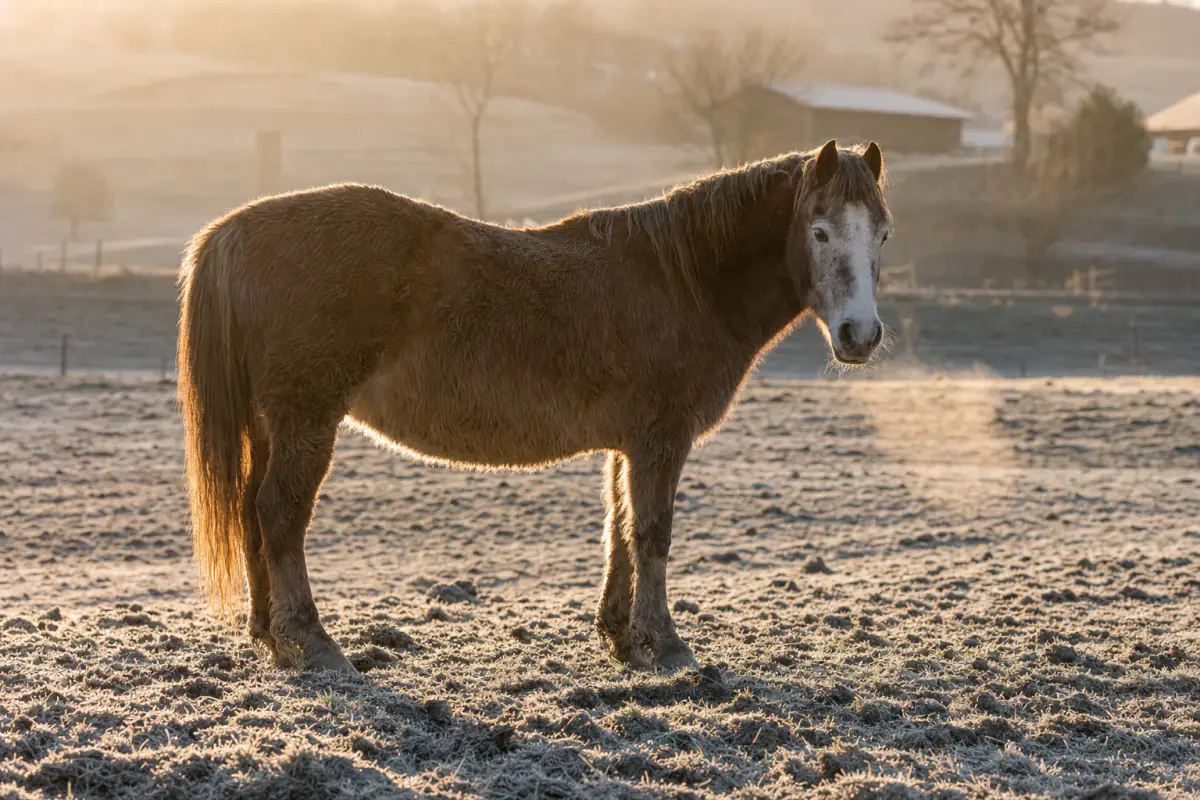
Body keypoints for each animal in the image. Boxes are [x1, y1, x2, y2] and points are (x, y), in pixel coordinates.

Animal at [176, 138, 891, 674]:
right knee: (280, 514)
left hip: (270, 423)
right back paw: (315, 644)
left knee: (249, 510)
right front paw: (666, 646)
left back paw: (271, 639)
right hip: (306, 419)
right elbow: (653, 533)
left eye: (882, 234)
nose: (860, 335)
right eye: (820, 231)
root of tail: (235, 229)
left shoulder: (628, 444)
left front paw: (621, 639)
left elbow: (619, 531)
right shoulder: (661, 440)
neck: (683, 281)